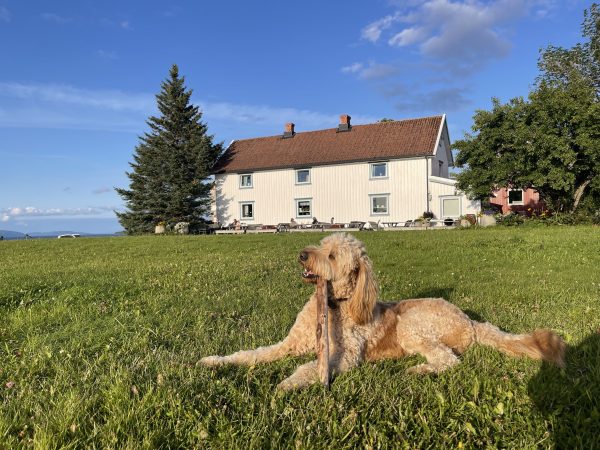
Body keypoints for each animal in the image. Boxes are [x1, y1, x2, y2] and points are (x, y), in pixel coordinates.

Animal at [199, 232, 564, 390]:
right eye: (321, 244)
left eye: (332, 256)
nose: (302, 255)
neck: (334, 305)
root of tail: (468, 319)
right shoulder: (288, 345)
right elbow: (251, 354)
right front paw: (216, 361)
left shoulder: (343, 357)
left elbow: (307, 368)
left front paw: (286, 385)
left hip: (411, 326)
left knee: (448, 360)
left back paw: (418, 370)